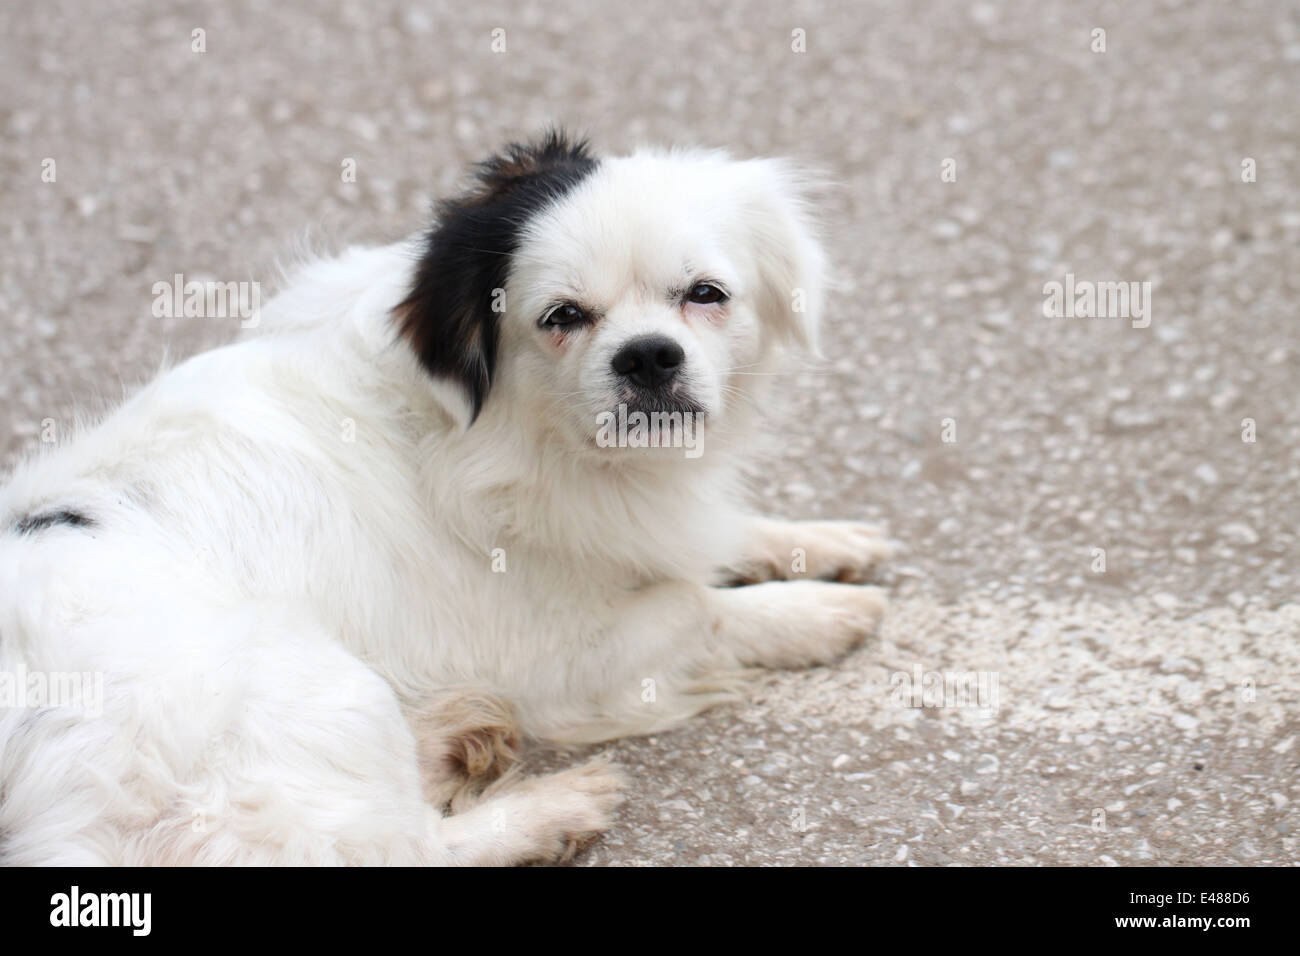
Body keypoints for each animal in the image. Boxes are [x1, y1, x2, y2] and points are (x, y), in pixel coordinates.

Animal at [0, 134, 894, 868]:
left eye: (705, 294)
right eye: (563, 317)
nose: (647, 356)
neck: (517, 435)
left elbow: (718, 540)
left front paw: (826, 544)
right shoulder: (551, 658)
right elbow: (692, 603)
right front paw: (813, 614)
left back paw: (451, 736)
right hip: (320, 683)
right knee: (395, 848)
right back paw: (546, 809)